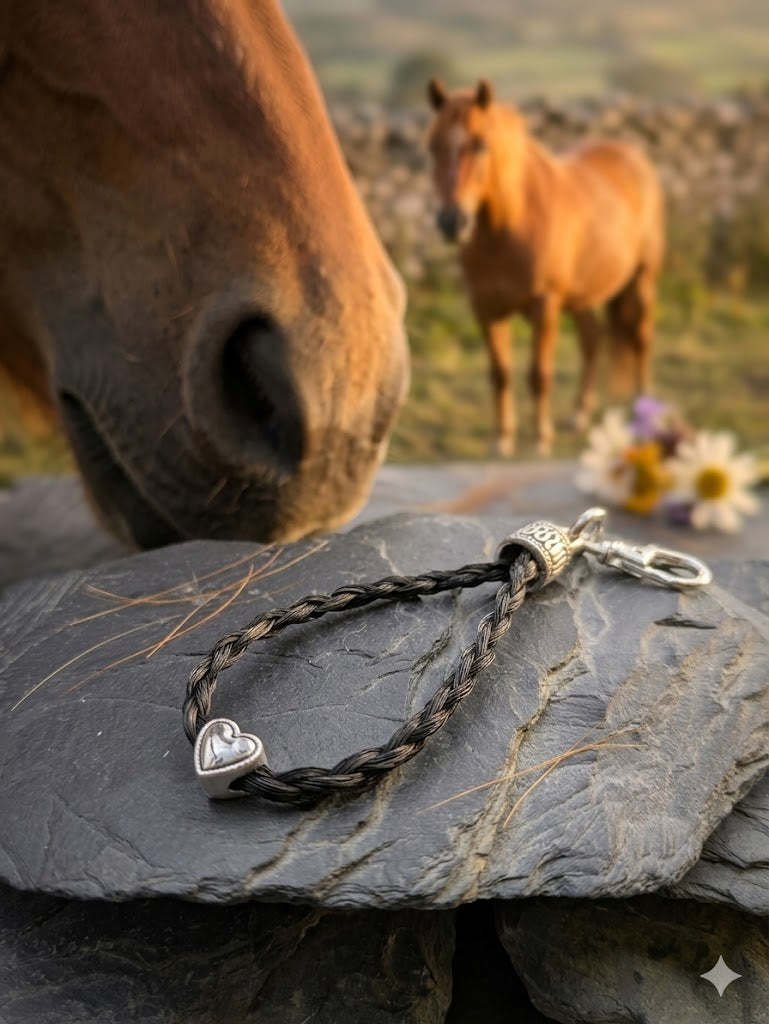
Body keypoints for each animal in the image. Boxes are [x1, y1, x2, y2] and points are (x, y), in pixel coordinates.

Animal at [427, 78, 665, 456]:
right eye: (433, 147)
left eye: (481, 145)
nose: (452, 222)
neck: (510, 227)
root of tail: (634, 156)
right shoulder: (486, 310)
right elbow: (500, 373)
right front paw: (503, 439)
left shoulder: (546, 305)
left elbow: (539, 374)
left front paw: (541, 438)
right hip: (582, 295)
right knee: (592, 339)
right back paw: (579, 415)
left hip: (643, 279)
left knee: (641, 337)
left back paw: (643, 410)